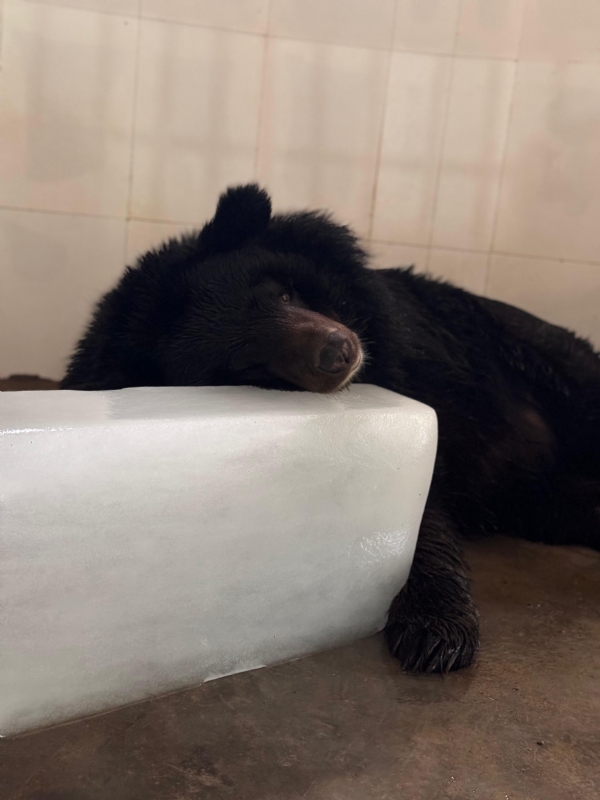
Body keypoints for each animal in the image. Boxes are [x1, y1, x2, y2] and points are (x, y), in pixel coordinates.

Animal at [62, 184, 600, 674]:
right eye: (245, 364)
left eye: (283, 293)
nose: (339, 350)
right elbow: (419, 501)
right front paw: (436, 632)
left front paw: (437, 631)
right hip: (540, 499)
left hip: (537, 360)